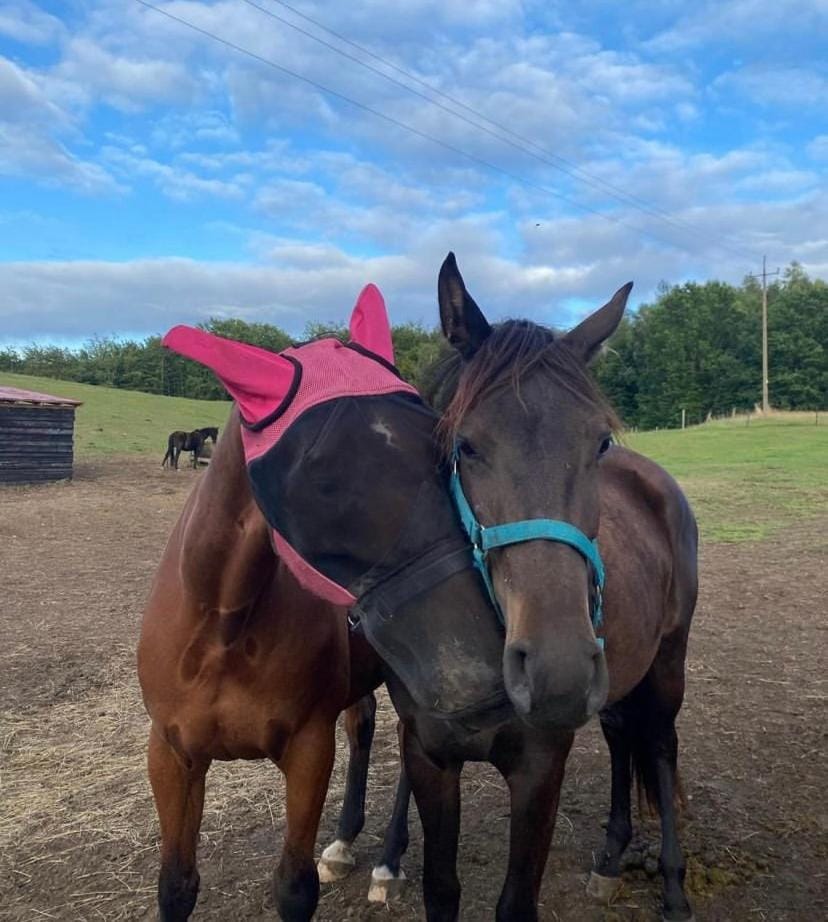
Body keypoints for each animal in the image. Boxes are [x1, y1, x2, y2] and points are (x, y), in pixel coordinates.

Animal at [138, 294, 508, 922]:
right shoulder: (170, 755)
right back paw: (346, 842)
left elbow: (294, 885)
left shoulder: (308, 751)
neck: (220, 628)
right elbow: (176, 884)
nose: (477, 671)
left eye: (446, 456)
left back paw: (388, 862)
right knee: (364, 726)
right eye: (319, 478)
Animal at [320, 254, 699, 922]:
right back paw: (609, 860)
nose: (557, 670)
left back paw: (674, 887)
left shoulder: (539, 768)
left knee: (658, 748)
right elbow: (441, 890)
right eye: (465, 446)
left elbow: (516, 902)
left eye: (600, 442)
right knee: (622, 738)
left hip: (666, 665)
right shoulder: (430, 758)